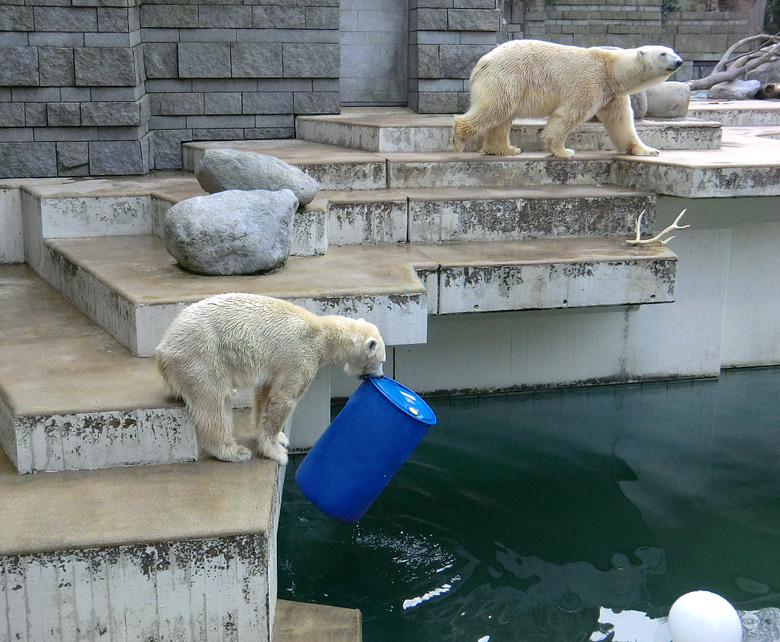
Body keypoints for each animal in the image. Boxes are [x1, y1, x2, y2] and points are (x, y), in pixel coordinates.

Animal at [154, 292, 386, 462]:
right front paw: (276, 451)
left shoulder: (276, 364)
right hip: (202, 357)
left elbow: (264, 393)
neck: (323, 334)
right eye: (381, 361)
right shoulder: (301, 356)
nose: (381, 376)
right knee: (214, 403)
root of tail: (164, 347)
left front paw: (274, 435)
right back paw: (235, 452)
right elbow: (285, 398)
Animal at [450, 39, 684, 158]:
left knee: (503, 116)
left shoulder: (612, 95)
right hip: (508, 75)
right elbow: (569, 114)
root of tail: (482, 62)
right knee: (496, 108)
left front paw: (648, 149)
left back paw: (506, 149)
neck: (611, 68)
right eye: (663, 53)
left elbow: (621, 122)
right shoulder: (590, 82)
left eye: (672, 50)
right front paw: (564, 151)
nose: (679, 61)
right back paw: (460, 139)